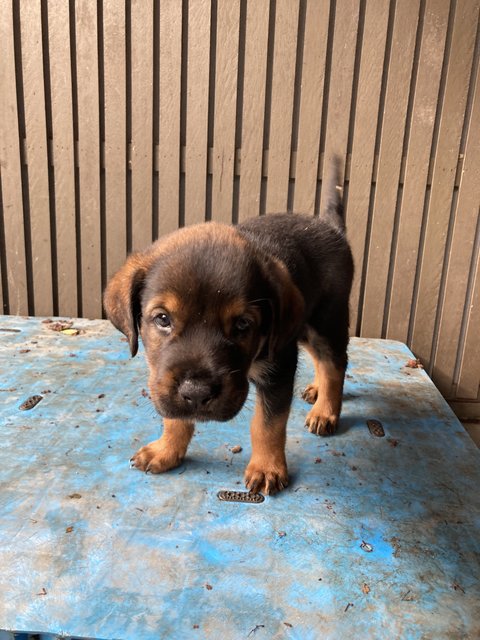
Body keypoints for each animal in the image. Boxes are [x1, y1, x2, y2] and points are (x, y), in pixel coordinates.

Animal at [104, 160, 352, 496]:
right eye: (163, 319)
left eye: (242, 324)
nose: (196, 394)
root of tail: (330, 228)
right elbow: (175, 417)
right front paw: (167, 450)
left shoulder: (279, 367)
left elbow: (267, 424)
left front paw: (267, 467)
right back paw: (316, 390)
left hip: (327, 322)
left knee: (334, 365)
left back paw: (326, 410)